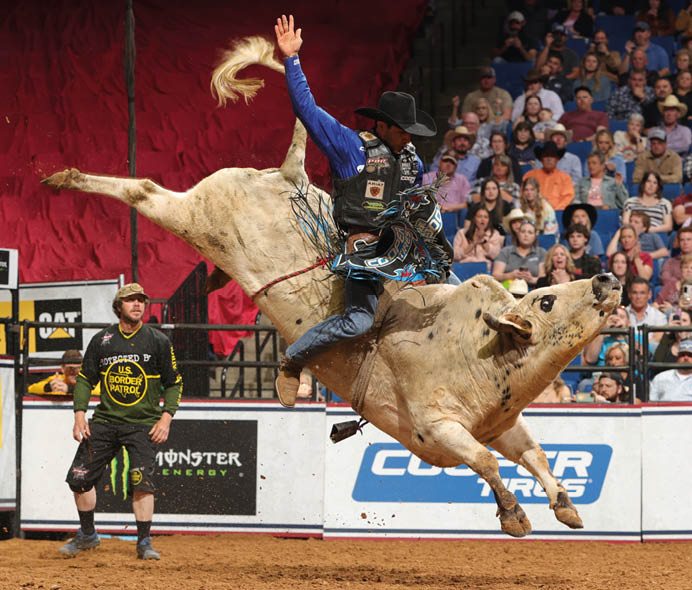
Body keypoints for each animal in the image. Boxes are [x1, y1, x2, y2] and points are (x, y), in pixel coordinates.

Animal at [42, 36, 622, 537]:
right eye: (546, 298)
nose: (608, 279)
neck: (476, 350)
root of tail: (287, 175)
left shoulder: (500, 423)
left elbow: (534, 454)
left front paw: (566, 505)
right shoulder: (438, 429)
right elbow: (485, 462)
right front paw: (513, 515)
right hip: (199, 214)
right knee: (144, 190)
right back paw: (65, 178)